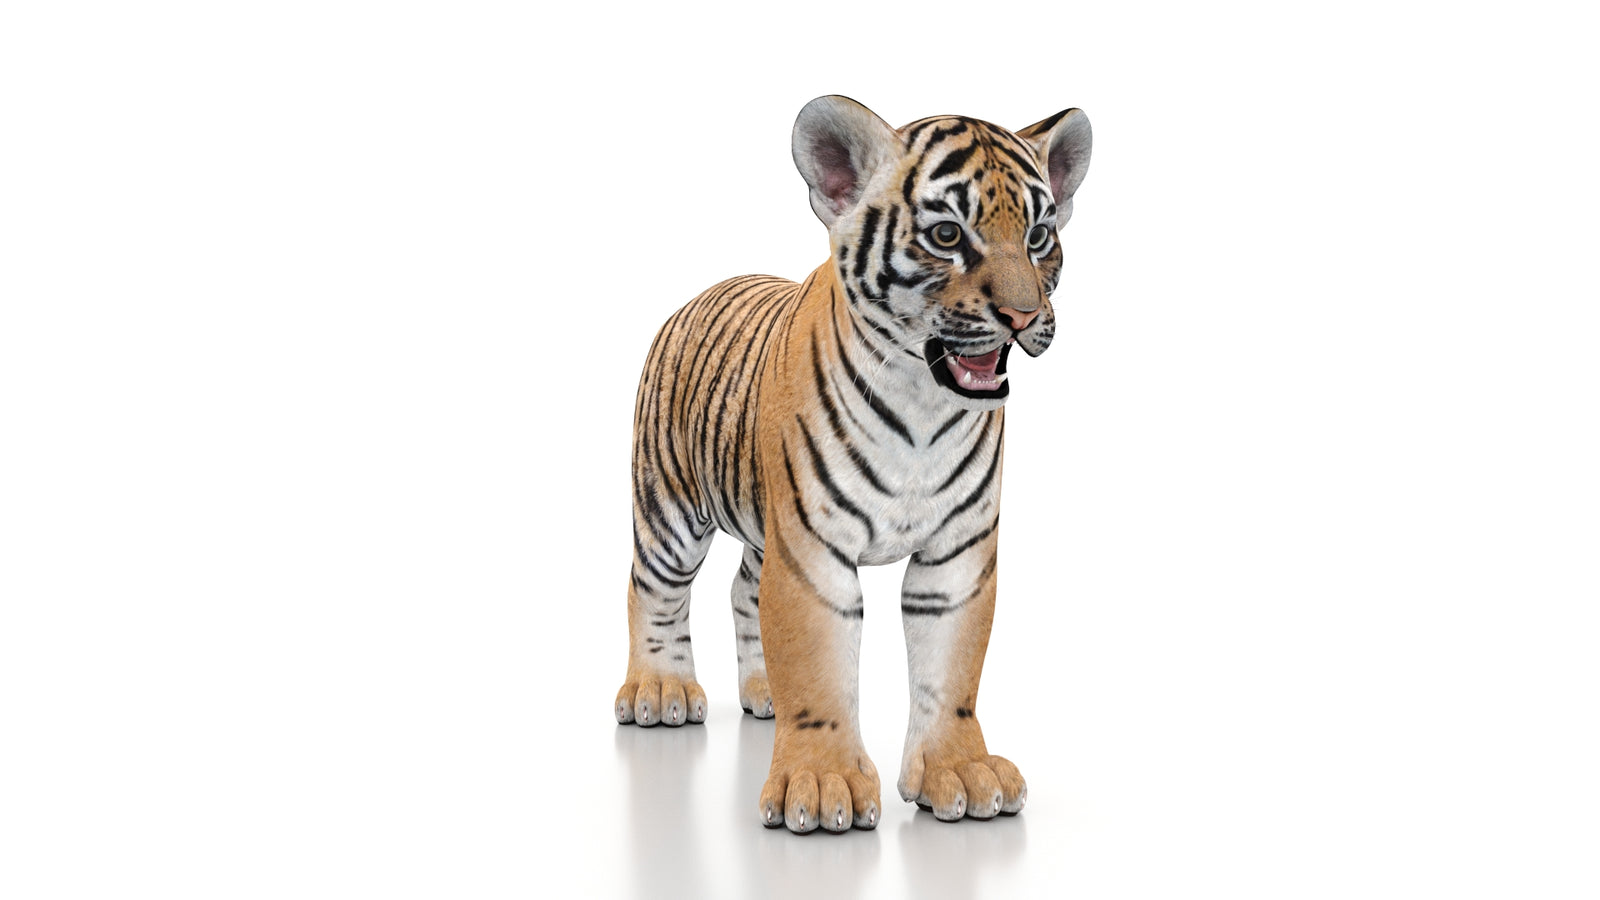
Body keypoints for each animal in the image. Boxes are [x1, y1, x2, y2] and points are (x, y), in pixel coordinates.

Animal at [613, 95, 1092, 833]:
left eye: (1040, 235)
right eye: (948, 235)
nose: (1022, 315)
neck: (923, 403)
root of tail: (704, 290)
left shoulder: (957, 554)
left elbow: (951, 671)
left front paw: (959, 771)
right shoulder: (812, 550)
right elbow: (816, 662)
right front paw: (820, 784)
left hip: (762, 531)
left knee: (742, 590)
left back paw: (764, 693)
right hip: (670, 507)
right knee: (653, 590)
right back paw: (660, 690)